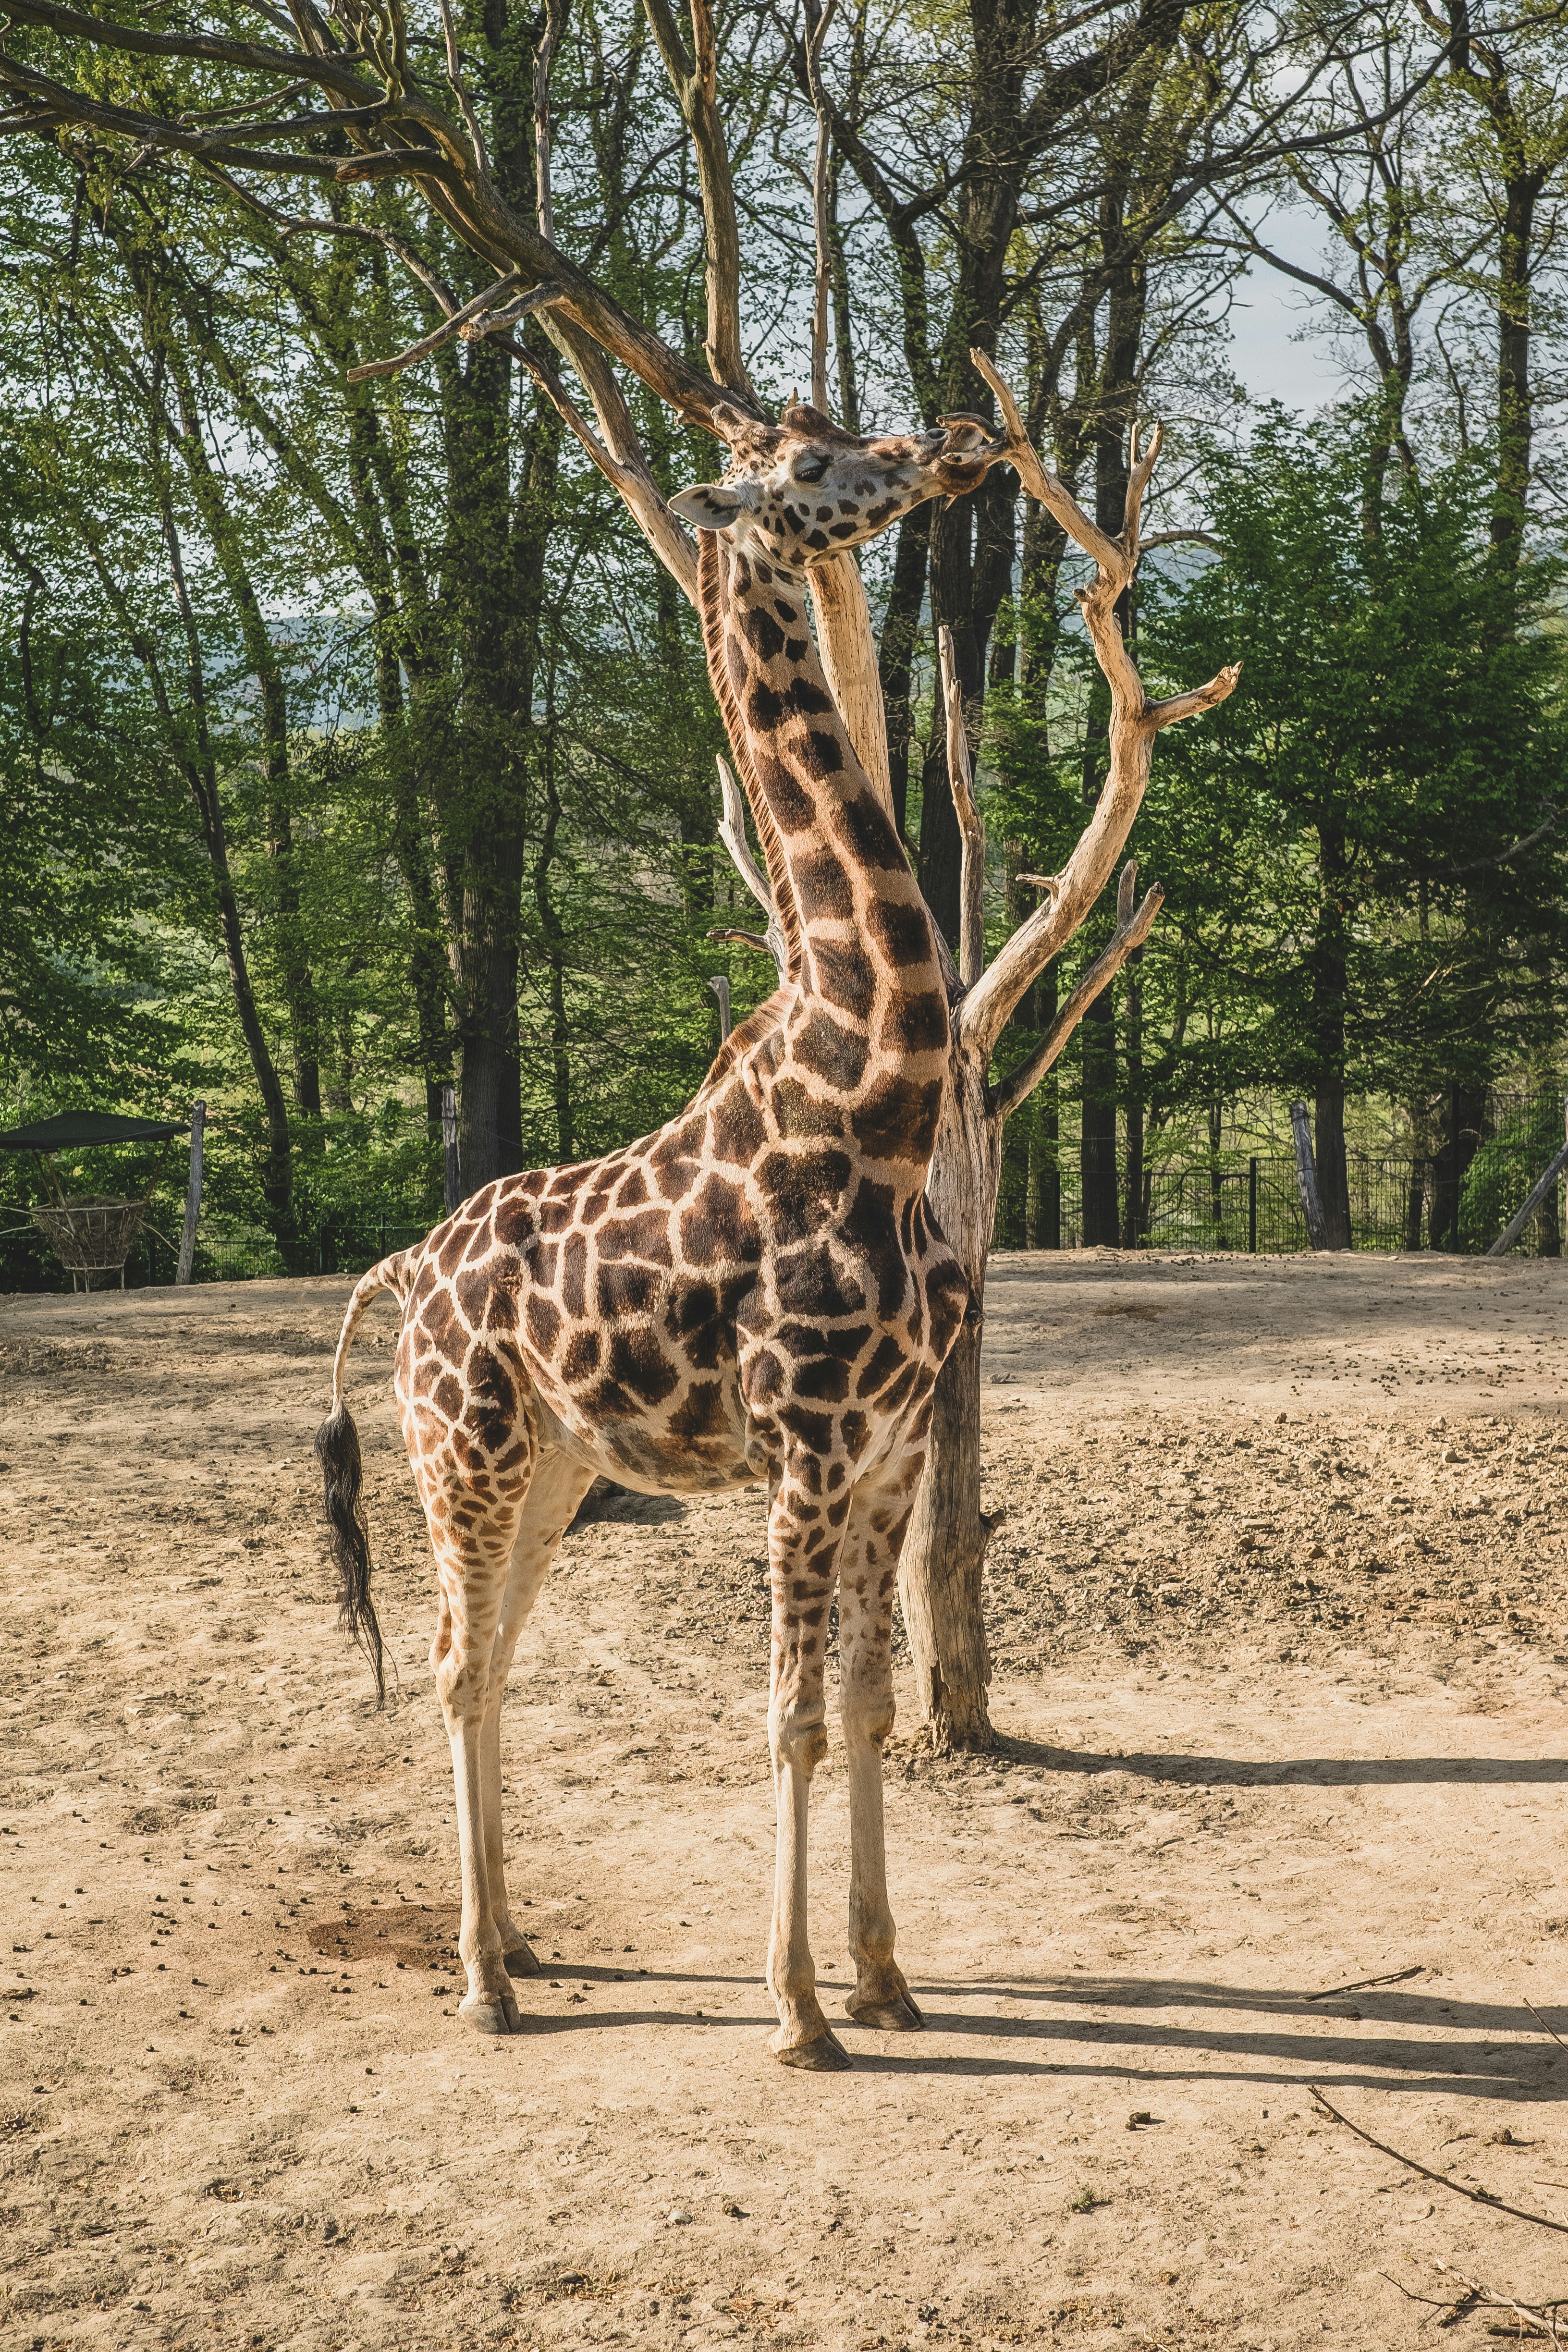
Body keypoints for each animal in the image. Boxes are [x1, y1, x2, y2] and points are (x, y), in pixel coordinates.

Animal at [316, 398, 1005, 2069]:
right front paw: (797, 2010)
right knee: (453, 1662)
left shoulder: (891, 1450)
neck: (872, 1095)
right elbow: (788, 1718)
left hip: (557, 1470)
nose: (957, 442)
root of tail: (408, 1270)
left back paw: (511, 1939)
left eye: (836, 430)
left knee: (492, 1661)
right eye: (810, 468)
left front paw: (885, 1977)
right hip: (462, 1455)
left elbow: (868, 1705)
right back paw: (483, 1980)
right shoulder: (806, 1451)